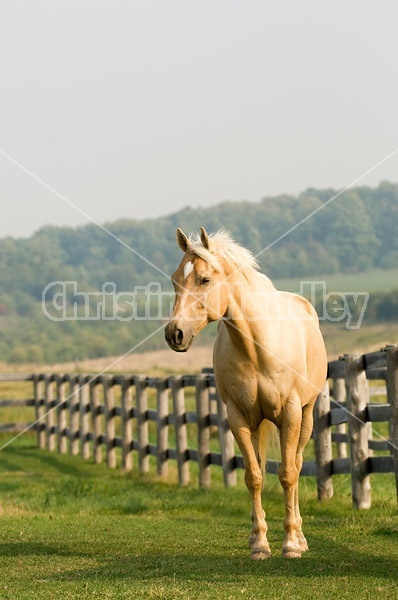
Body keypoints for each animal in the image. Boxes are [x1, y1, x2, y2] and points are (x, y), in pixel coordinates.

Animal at [165, 227, 326, 560]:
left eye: (204, 280)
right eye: (175, 280)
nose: (175, 334)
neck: (257, 346)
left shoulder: (290, 414)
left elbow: (288, 474)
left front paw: (291, 544)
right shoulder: (237, 417)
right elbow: (254, 477)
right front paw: (260, 544)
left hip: (305, 417)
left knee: (297, 464)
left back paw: (300, 536)